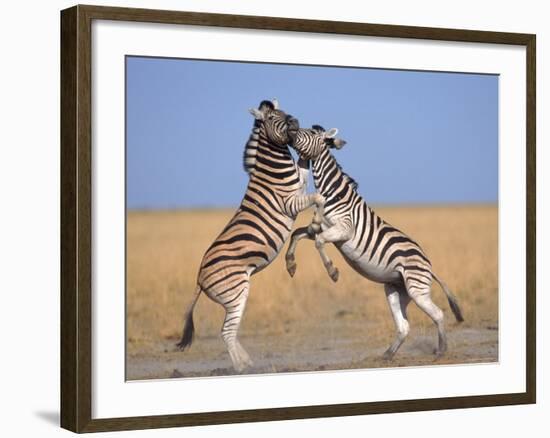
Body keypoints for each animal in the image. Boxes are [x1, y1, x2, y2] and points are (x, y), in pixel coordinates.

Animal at [177, 101, 326, 372]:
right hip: (236, 291)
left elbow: (304, 169)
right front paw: (316, 222)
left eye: (285, 112)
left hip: (234, 295)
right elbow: (318, 198)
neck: (274, 170)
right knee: (226, 332)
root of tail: (199, 278)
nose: (295, 122)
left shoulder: (299, 185)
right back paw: (241, 368)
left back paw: (248, 362)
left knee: (231, 331)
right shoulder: (289, 202)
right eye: (272, 118)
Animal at [286, 125, 464, 362]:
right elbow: (297, 235)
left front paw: (332, 272)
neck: (332, 193)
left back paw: (441, 351)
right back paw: (387, 355)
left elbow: (319, 243)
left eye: (311, 133)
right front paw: (290, 264)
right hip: (396, 290)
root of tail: (428, 264)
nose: (290, 129)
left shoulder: (343, 229)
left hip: (416, 288)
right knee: (404, 326)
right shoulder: (320, 227)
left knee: (438, 314)